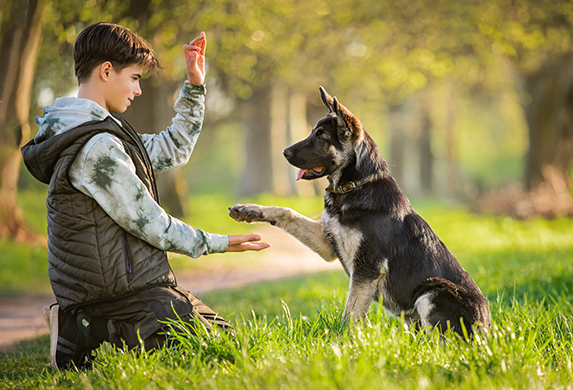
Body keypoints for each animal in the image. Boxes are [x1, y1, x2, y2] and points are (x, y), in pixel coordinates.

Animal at [230, 87, 490, 336]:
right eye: (314, 132)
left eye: (321, 136)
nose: (284, 152)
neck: (354, 186)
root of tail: (487, 329)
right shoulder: (328, 245)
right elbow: (287, 212)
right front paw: (249, 210)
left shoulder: (367, 269)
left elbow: (351, 313)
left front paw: (345, 341)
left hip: (433, 291)